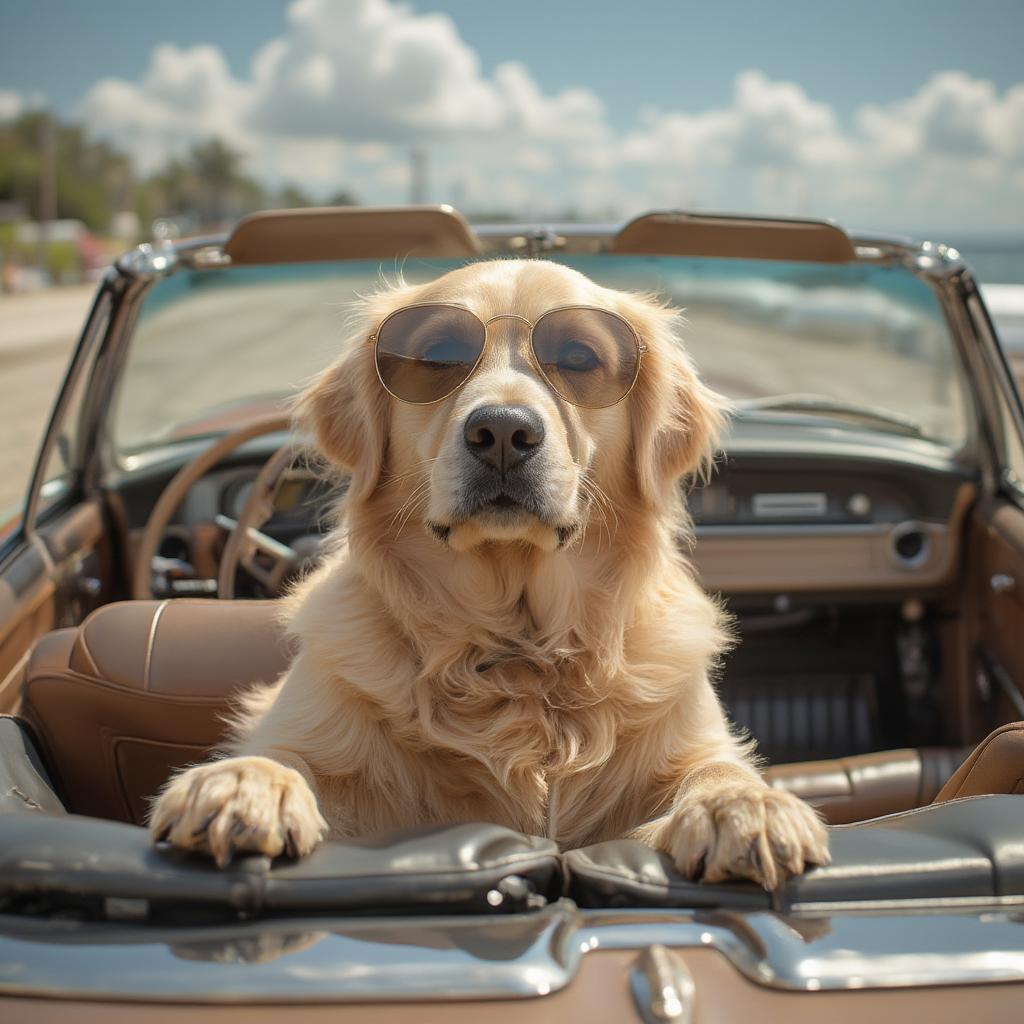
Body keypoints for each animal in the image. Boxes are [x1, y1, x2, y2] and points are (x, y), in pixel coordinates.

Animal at [148, 262, 827, 888]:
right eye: (435, 358)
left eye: (578, 357)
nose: (502, 429)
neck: (518, 647)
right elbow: (284, 754)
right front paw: (243, 785)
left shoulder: (691, 739)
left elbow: (716, 768)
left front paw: (745, 806)